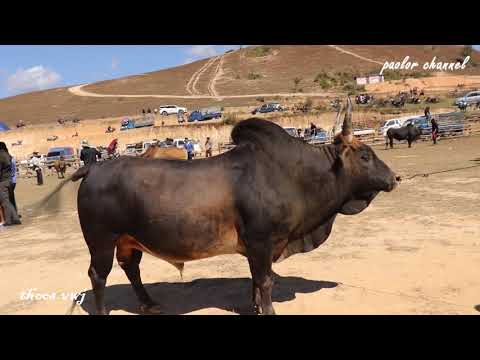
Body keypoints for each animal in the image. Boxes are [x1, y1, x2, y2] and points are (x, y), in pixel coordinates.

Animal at [45, 97, 398, 316]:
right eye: (365, 155)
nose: (394, 177)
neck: (293, 174)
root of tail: (94, 167)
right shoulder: (262, 241)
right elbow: (265, 280)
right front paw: (268, 309)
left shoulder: (259, 248)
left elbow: (256, 280)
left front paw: (256, 307)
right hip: (101, 241)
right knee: (98, 275)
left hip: (129, 240)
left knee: (131, 268)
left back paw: (148, 303)